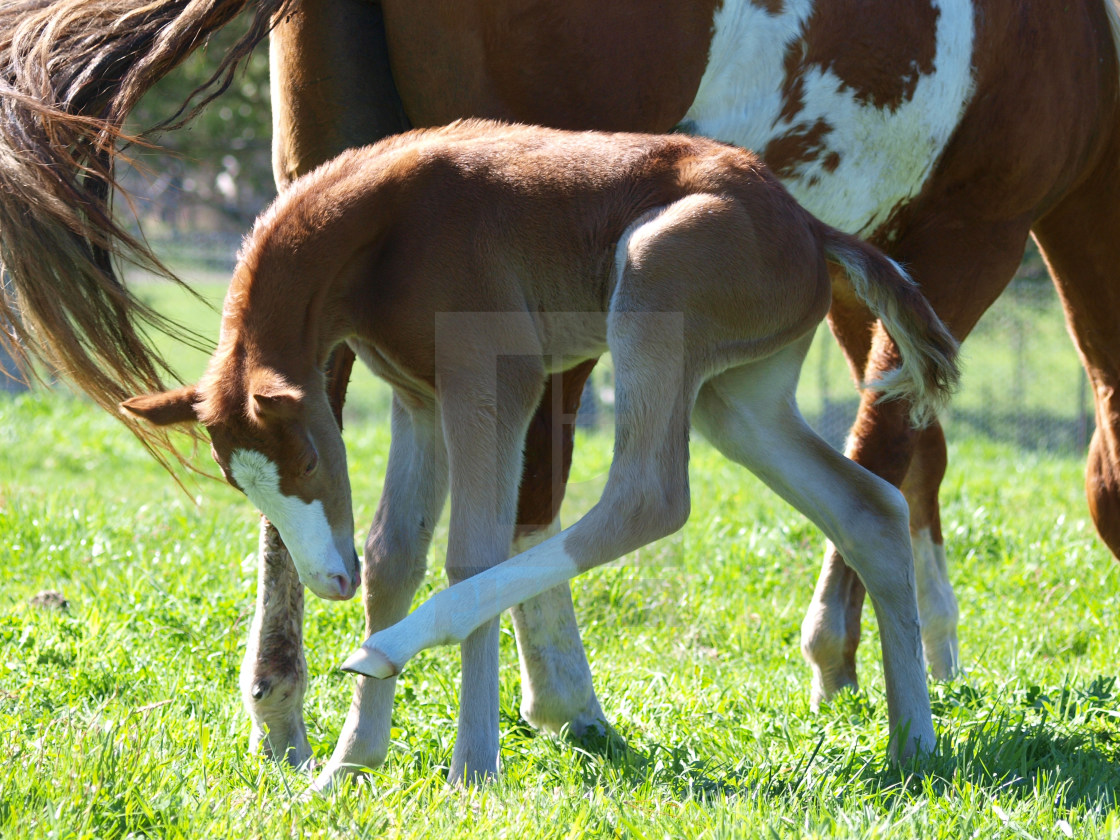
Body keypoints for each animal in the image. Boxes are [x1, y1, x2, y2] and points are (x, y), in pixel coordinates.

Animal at [124, 121, 963, 788]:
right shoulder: (419, 397)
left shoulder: (494, 377)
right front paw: (346, 767)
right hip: (740, 398)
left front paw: (471, 769)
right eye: (241, 484)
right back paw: (914, 746)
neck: (388, 229)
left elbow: (472, 554)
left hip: (658, 279)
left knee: (649, 499)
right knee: (869, 507)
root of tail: (811, 229)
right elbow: (394, 555)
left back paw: (391, 651)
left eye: (306, 463)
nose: (330, 583)